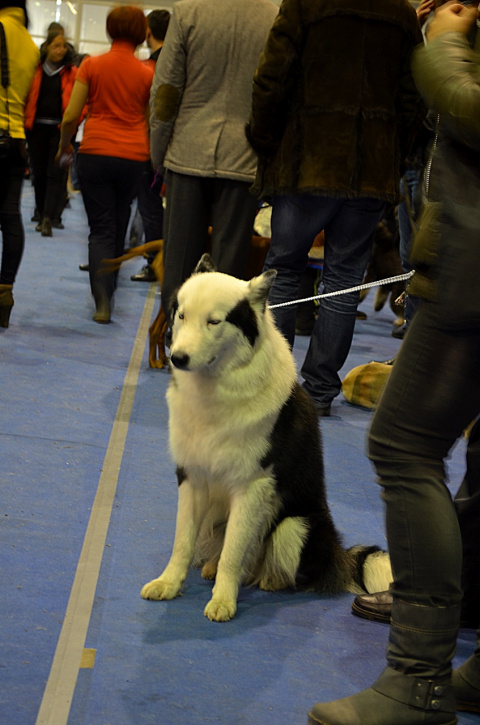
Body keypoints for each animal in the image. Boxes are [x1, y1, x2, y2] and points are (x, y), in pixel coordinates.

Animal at [141, 256, 392, 624]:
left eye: (214, 321)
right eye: (181, 315)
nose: (177, 358)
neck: (216, 390)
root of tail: (338, 554)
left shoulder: (253, 485)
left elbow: (234, 553)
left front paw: (223, 601)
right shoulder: (192, 476)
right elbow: (182, 542)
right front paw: (169, 583)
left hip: (295, 525)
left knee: (274, 564)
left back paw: (267, 579)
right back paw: (213, 568)